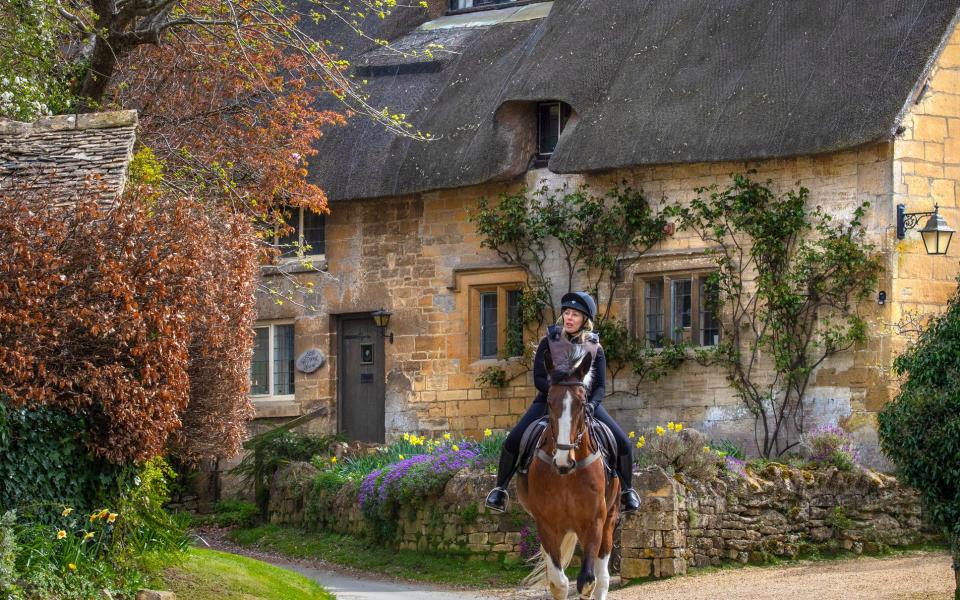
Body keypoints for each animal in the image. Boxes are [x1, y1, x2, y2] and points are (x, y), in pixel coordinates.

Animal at [516, 342, 624, 600]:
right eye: (549, 402)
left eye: (583, 403)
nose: (563, 461)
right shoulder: (546, 524)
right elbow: (558, 582)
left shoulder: (594, 521)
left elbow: (587, 581)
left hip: (609, 520)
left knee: (602, 579)